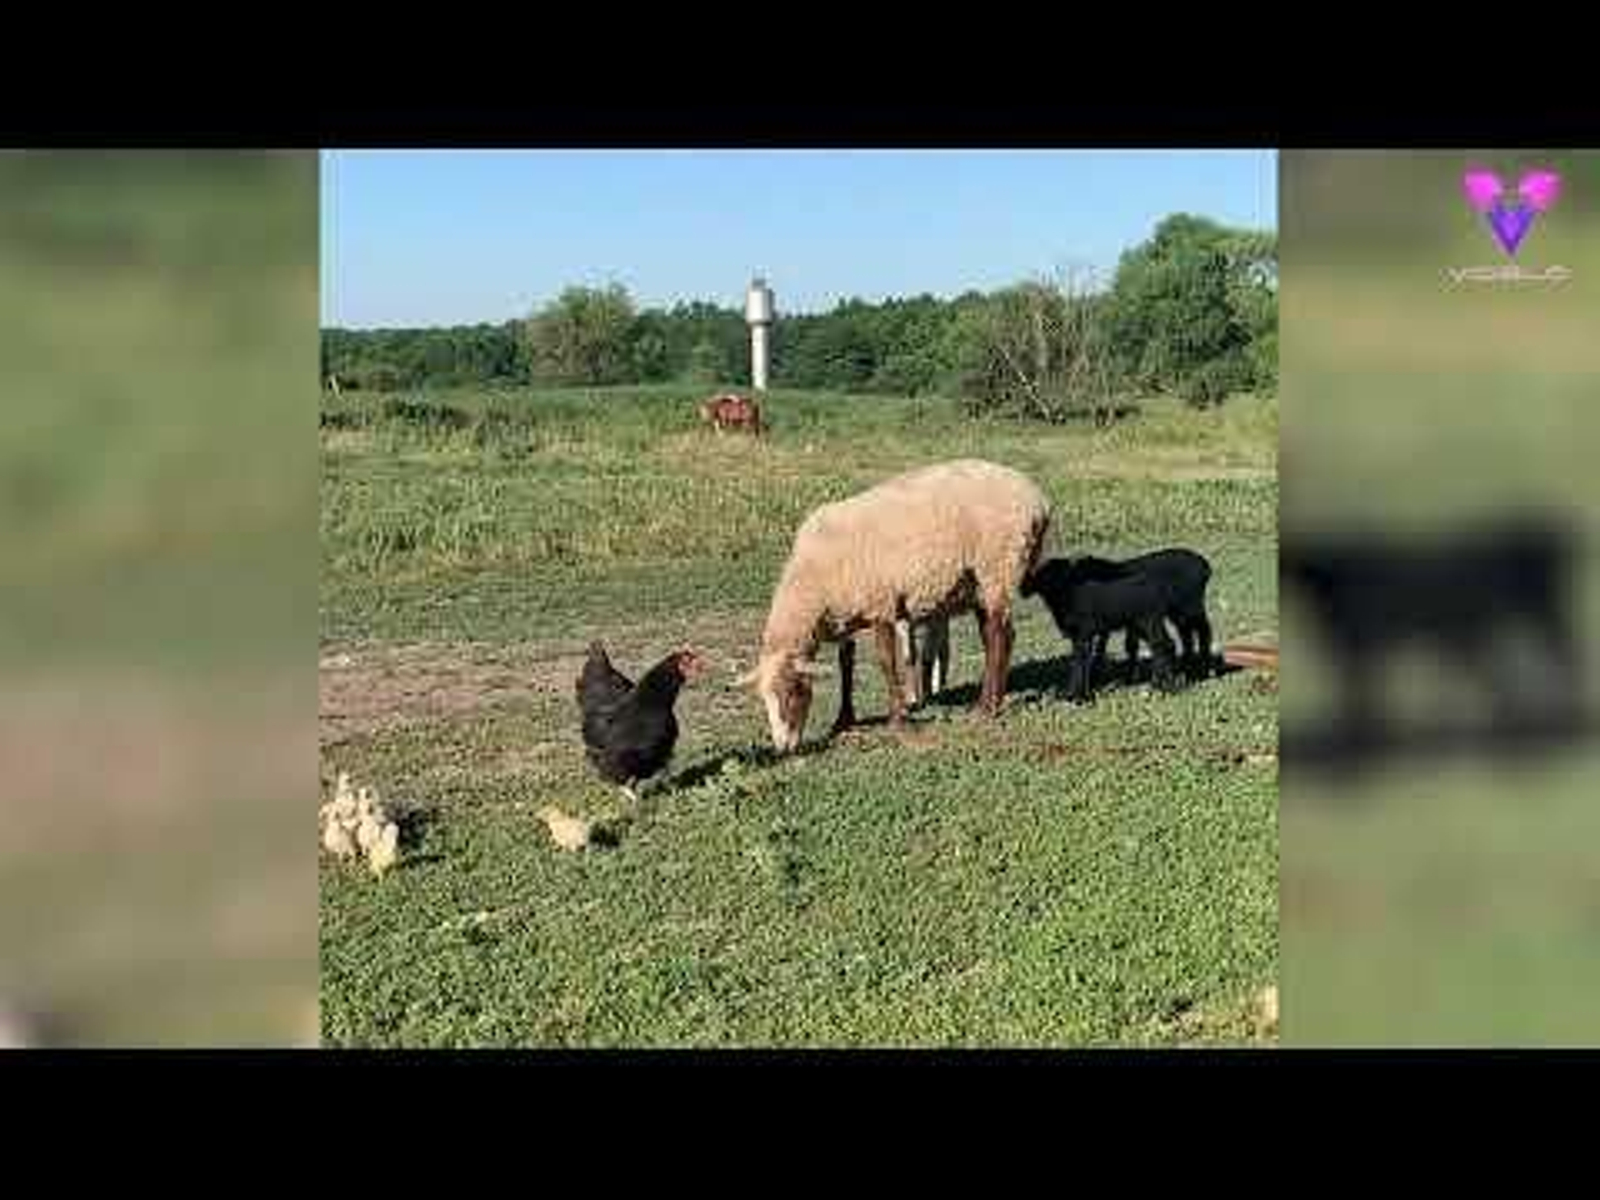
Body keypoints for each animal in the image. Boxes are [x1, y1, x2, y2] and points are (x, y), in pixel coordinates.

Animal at [738, 459, 1051, 751]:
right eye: (764, 699)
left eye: (791, 691)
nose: (784, 748)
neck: (811, 584)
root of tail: (1038, 499)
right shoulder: (846, 615)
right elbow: (846, 663)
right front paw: (844, 720)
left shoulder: (881, 604)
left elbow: (886, 662)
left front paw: (898, 720)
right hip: (980, 583)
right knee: (993, 636)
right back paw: (992, 699)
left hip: (998, 567)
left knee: (1000, 636)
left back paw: (987, 709)